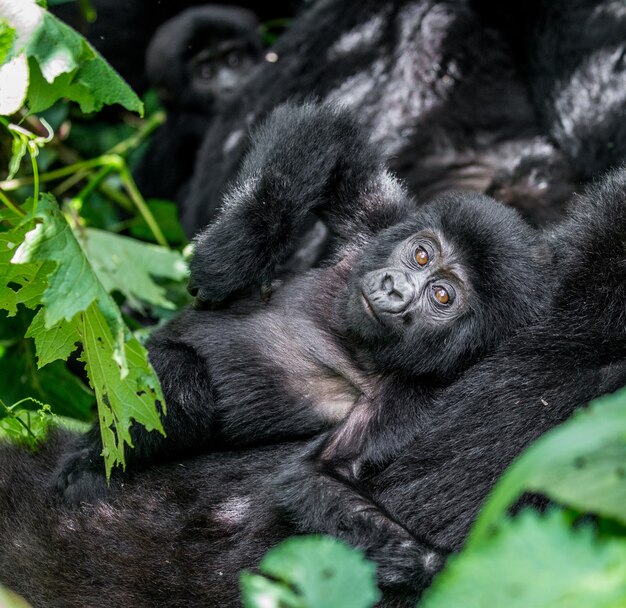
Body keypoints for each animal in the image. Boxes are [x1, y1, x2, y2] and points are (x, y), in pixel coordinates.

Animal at [54, 103, 544, 504]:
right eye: (421, 255)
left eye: (442, 296)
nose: (395, 288)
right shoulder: (382, 225)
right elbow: (329, 136)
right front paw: (231, 258)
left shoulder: (414, 397)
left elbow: (322, 474)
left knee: (179, 382)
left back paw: (91, 460)